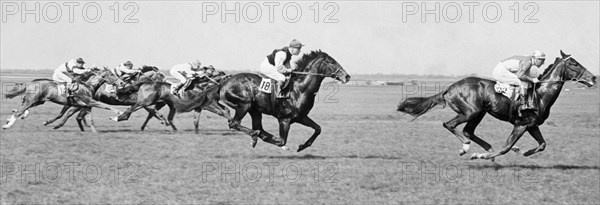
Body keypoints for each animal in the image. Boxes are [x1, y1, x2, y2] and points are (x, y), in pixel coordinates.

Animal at [213, 50, 352, 151]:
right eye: (331, 62)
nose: (347, 76)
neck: (299, 89)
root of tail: (224, 82)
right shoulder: (284, 119)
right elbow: (282, 140)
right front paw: (283, 144)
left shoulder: (301, 117)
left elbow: (318, 128)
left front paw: (302, 146)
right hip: (244, 105)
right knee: (235, 124)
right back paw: (254, 135)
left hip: (255, 110)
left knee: (257, 128)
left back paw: (256, 136)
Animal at [398, 50, 596, 160]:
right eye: (574, 63)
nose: (594, 77)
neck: (540, 94)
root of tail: (450, 87)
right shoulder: (521, 125)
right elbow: (505, 148)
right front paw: (482, 156)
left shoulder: (532, 125)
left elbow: (542, 145)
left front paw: (524, 152)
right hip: (471, 112)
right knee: (450, 125)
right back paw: (467, 148)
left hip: (479, 113)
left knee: (468, 131)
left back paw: (485, 148)